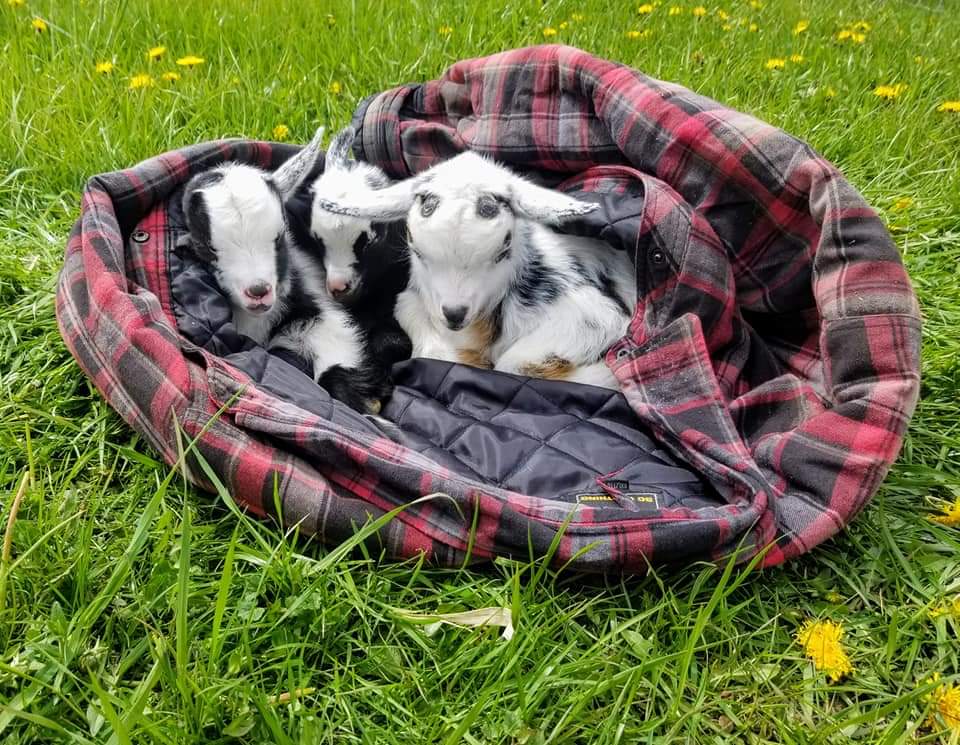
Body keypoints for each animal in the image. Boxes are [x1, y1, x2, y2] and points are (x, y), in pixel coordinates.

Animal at [315, 151, 637, 389]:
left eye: (504, 249)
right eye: (416, 249)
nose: (454, 313)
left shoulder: (596, 317)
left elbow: (513, 364)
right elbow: (411, 313)